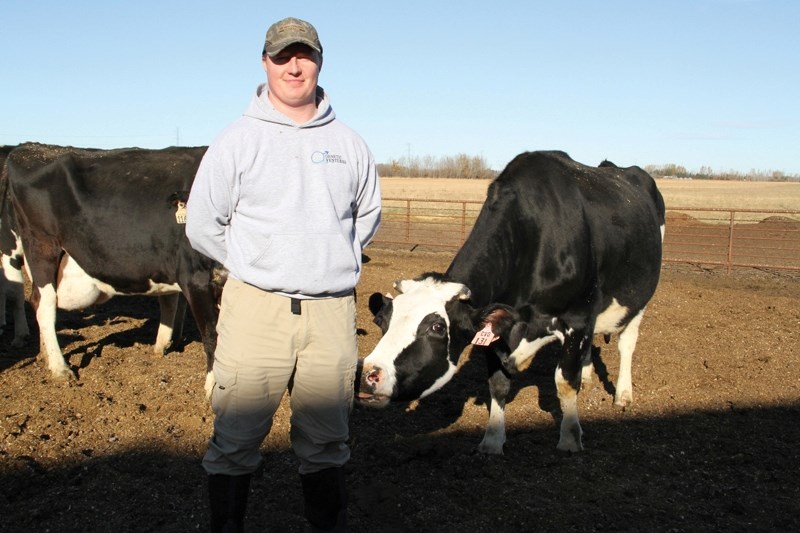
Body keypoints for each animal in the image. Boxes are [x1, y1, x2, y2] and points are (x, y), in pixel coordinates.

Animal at [3, 143, 223, 392]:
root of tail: (26, 149)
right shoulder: (195, 277)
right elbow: (212, 334)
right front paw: (213, 389)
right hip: (40, 245)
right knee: (43, 302)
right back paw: (59, 368)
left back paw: (44, 354)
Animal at [360, 151, 664, 454]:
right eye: (382, 320)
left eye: (437, 327)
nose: (368, 374)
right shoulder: (497, 324)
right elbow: (497, 384)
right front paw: (493, 440)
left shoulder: (577, 317)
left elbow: (565, 381)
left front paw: (569, 438)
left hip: (639, 299)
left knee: (627, 343)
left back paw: (623, 395)